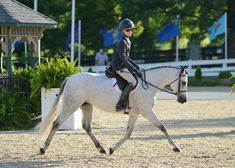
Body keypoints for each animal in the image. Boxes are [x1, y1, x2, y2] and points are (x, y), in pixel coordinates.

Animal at [39, 65, 189, 155]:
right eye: (184, 82)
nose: (183, 100)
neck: (149, 85)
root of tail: (69, 77)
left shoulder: (135, 114)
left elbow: (128, 133)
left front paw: (112, 148)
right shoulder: (147, 112)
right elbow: (162, 127)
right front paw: (176, 147)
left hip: (87, 106)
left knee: (87, 126)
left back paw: (101, 148)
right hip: (71, 106)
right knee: (56, 124)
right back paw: (43, 149)